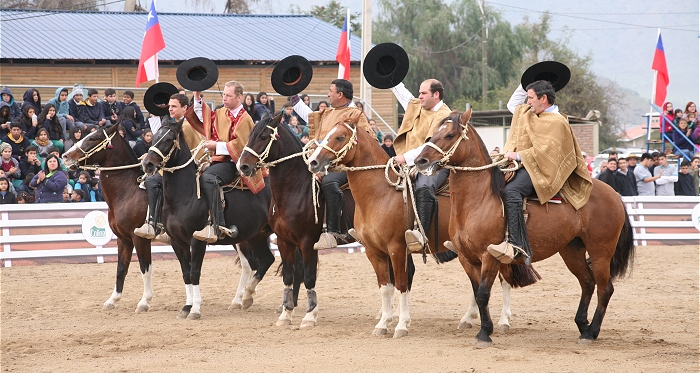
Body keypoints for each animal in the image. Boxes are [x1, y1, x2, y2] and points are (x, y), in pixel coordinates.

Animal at [139, 120, 274, 318]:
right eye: (154, 137)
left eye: (169, 139)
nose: (148, 164)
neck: (184, 196)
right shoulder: (177, 242)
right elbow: (186, 272)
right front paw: (186, 307)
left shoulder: (197, 241)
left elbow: (195, 272)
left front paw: (195, 309)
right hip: (255, 236)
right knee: (264, 261)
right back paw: (245, 298)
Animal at [238, 112, 356, 326]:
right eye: (249, 135)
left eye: (263, 137)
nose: (243, 166)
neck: (296, 190)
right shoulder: (284, 242)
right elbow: (288, 276)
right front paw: (286, 313)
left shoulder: (308, 243)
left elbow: (309, 277)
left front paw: (310, 315)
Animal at [304, 115, 540, 336]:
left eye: (339, 137)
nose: (313, 162)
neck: (380, 194)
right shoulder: (374, 252)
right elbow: (385, 288)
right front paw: (383, 323)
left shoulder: (397, 249)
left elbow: (401, 284)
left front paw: (401, 325)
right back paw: (469, 318)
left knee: (504, 279)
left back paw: (503, 320)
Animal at [416, 110, 640, 346]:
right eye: (432, 134)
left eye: (450, 135)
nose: (420, 160)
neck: (479, 199)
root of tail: (614, 194)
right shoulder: (466, 259)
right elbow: (477, 293)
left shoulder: (489, 257)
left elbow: (484, 293)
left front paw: (485, 333)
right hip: (572, 250)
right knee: (587, 283)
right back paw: (582, 325)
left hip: (600, 252)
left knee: (605, 289)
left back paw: (591, 332)